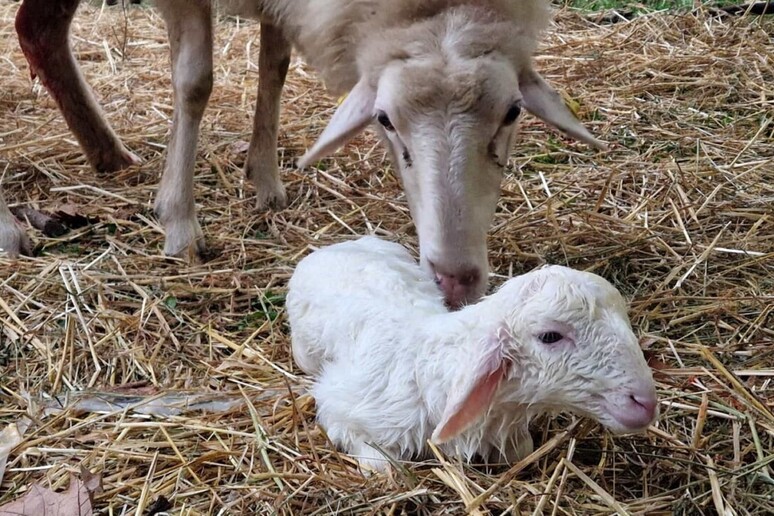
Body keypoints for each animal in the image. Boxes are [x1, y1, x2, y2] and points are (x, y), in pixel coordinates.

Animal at [1, 0, 608, 306]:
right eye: (384, 120)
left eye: (512, 113)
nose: (456, 279)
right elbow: (195, 79)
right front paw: (179, 221)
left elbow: (275, 64)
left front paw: (266, 181)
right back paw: (12, 228)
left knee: (38, 28)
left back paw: (108, 153)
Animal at [288, 238, 656, 472]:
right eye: (550, 336)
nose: (646, 402)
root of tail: (333, 247)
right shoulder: (339, 405)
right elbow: (382, 467)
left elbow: (522, 450)